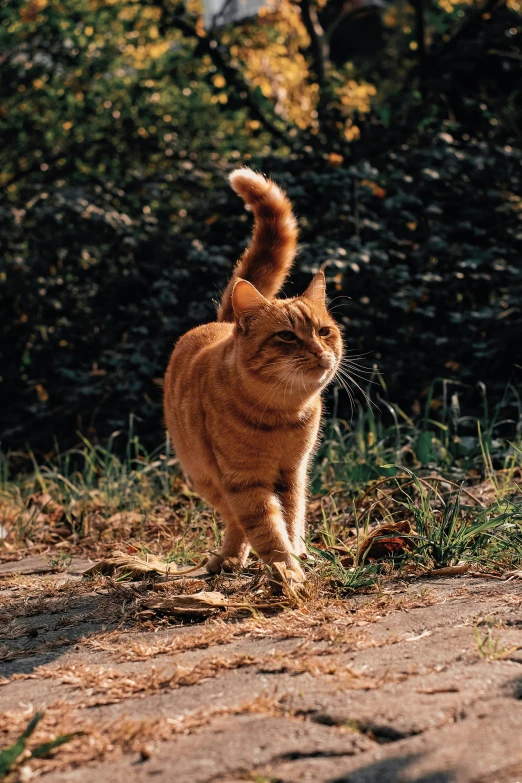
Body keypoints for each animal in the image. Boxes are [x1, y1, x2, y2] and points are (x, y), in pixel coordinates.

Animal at [162, 167, 342, 580]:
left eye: (324, 331)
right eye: (287, 337)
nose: (320, 351)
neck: (284, 414)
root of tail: (226, 322)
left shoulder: (292, 475)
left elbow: (291, 520)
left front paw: (297, 556)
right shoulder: (245, 481)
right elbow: (266, 527)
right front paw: (288, 573)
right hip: (206, 476)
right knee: (233, 519)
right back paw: (229, 558)